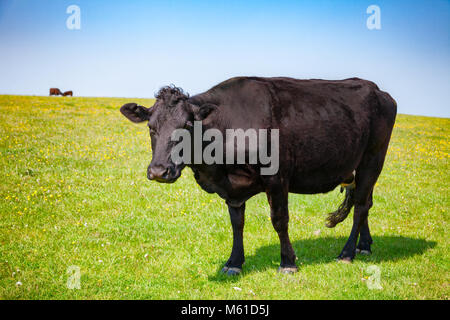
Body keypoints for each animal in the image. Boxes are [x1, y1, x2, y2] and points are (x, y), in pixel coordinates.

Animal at [120, 77, 398, 276]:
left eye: (188, 126)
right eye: (151, 127)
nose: (159, 171)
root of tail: (376, 89)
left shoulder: (277, 178)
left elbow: (280, 220)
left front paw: (287, 263)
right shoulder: (233, 190)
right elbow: (236, 223)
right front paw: (234, 262)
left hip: (373, 158)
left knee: (360, 206)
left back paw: (347, 253)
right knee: (366, 202)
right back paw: (364, 245)